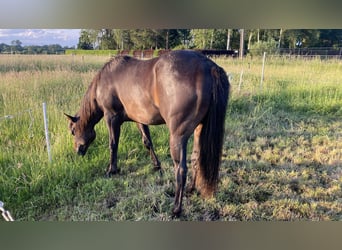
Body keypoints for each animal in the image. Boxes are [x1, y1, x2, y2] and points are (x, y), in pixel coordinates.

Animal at [64, 49, 230, 216]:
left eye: (73, 131)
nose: (78, 151)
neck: (104, 82)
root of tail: (208, 66)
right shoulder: (140, 119)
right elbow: (147, 142)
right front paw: (156, 166)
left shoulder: (111, 118)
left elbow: (113, 144)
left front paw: (112, 170)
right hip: (198, 130)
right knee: (196, 159)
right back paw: (190, 189)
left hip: (178, 137)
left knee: (181, 170)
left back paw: (176, 209)